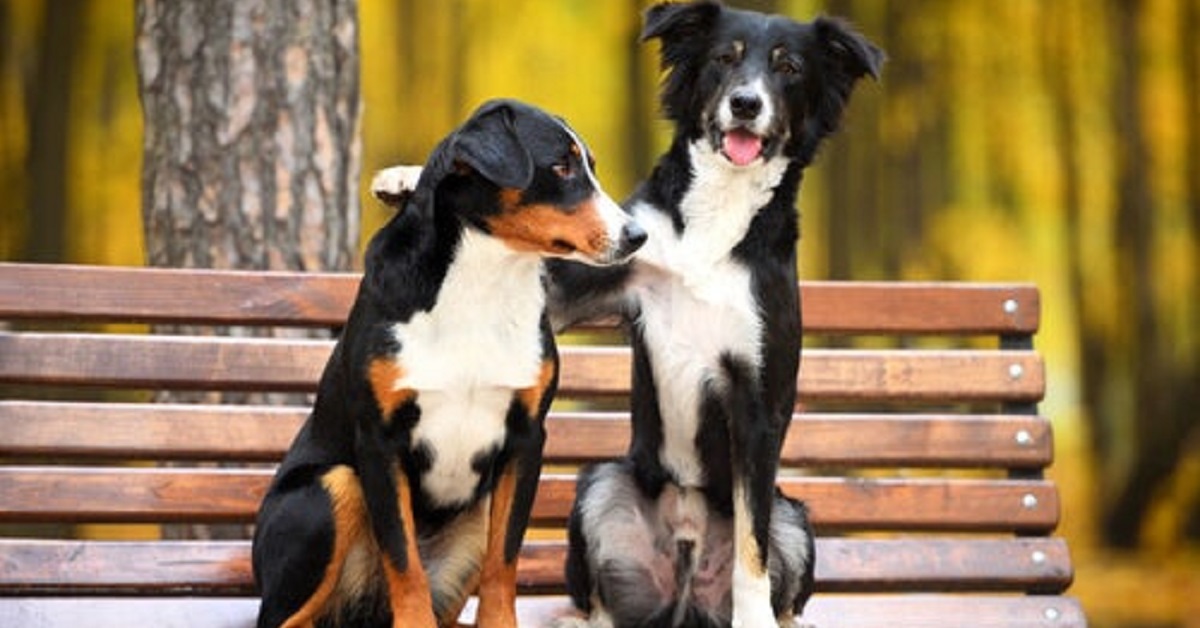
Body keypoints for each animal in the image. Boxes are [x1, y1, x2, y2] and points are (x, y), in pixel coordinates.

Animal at [252, 99, 648, 628]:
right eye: (561, 167)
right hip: (330, 487)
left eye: (590, 167)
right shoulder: (379, 440)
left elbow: (504, 560)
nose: (637, 235)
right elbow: (403, 561)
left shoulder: (525, 438)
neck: (483, 283)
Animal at [544, 2, 883, 624]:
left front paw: (754, 617)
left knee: (782, 578)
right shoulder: (598, 275)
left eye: (789, 68)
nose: (746, 103)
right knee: (597, 597)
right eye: (725, 58)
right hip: (603, 483)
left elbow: (752, 549)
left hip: (794, 519)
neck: (722, 205)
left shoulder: (756, 398)